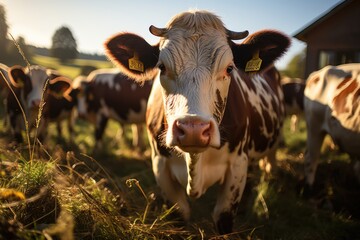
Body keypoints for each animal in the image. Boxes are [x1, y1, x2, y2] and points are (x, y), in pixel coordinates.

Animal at [103, 10, 290, 233]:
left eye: (229, 69)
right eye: (161, 67)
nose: (193, 129)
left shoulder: (237, 165)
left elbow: (223, 218)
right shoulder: (160, 166)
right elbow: (179, 214)